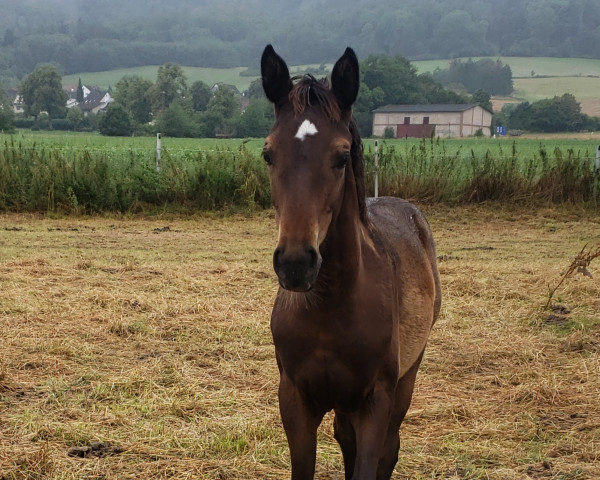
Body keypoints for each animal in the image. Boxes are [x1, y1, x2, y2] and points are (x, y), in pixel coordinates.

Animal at [262, 45, 440, 480]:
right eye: (268, 153)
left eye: (343, 156)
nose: (296, 262)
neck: (328, 306)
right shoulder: (294, 401)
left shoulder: (375, 401)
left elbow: (370, 461)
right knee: (345, 439)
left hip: (407, 379)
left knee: (389, 449)